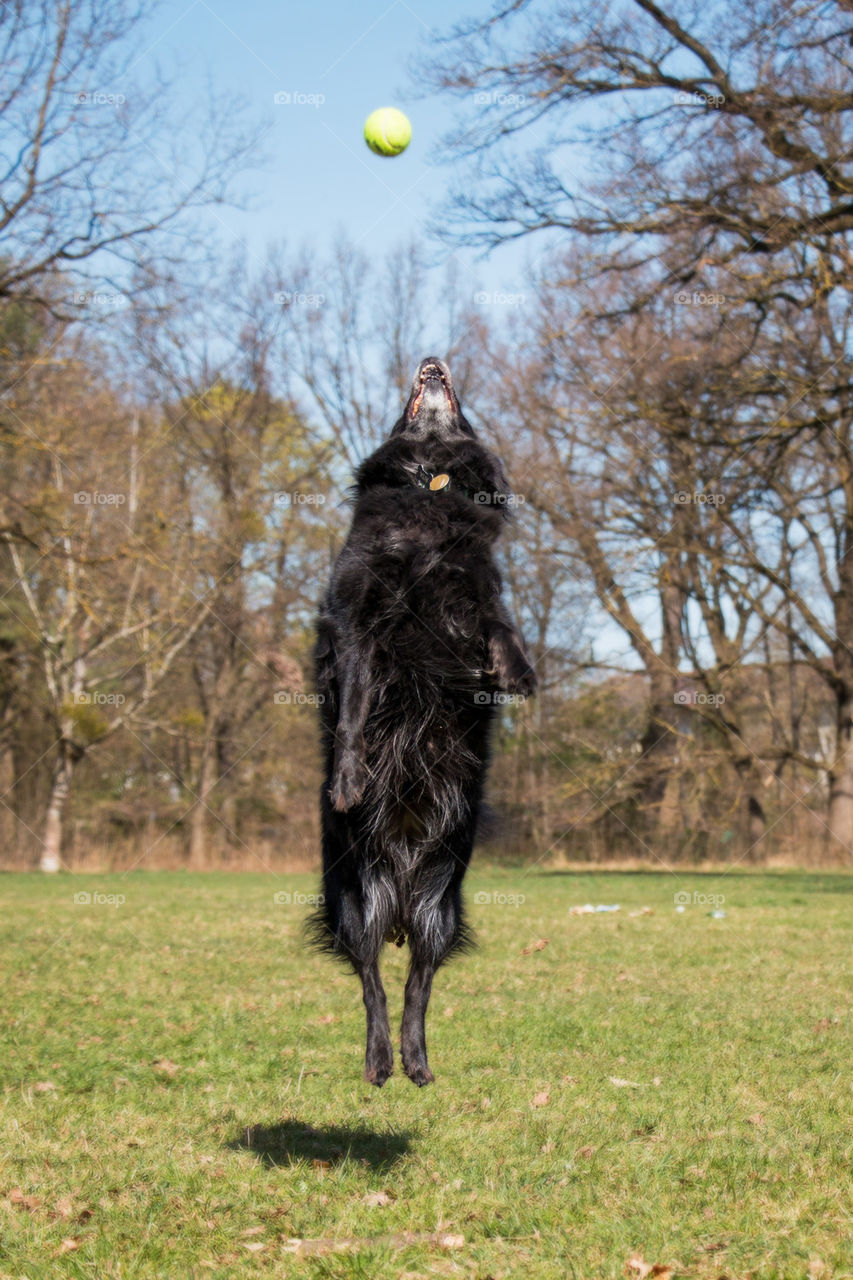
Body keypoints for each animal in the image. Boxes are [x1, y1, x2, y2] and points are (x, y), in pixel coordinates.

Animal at [308, 355, 535, 1085]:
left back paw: (416, 1060)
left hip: (442, 913)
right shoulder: (358, 621)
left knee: (418, 987)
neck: (428, 480)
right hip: (356, 909)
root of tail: (403, 901)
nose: (433, 362)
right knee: (373, 984)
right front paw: (348, 779)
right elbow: (354, 709)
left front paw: (518, 671)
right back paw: (379, 1060)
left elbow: (498, 622)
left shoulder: (475, 590)